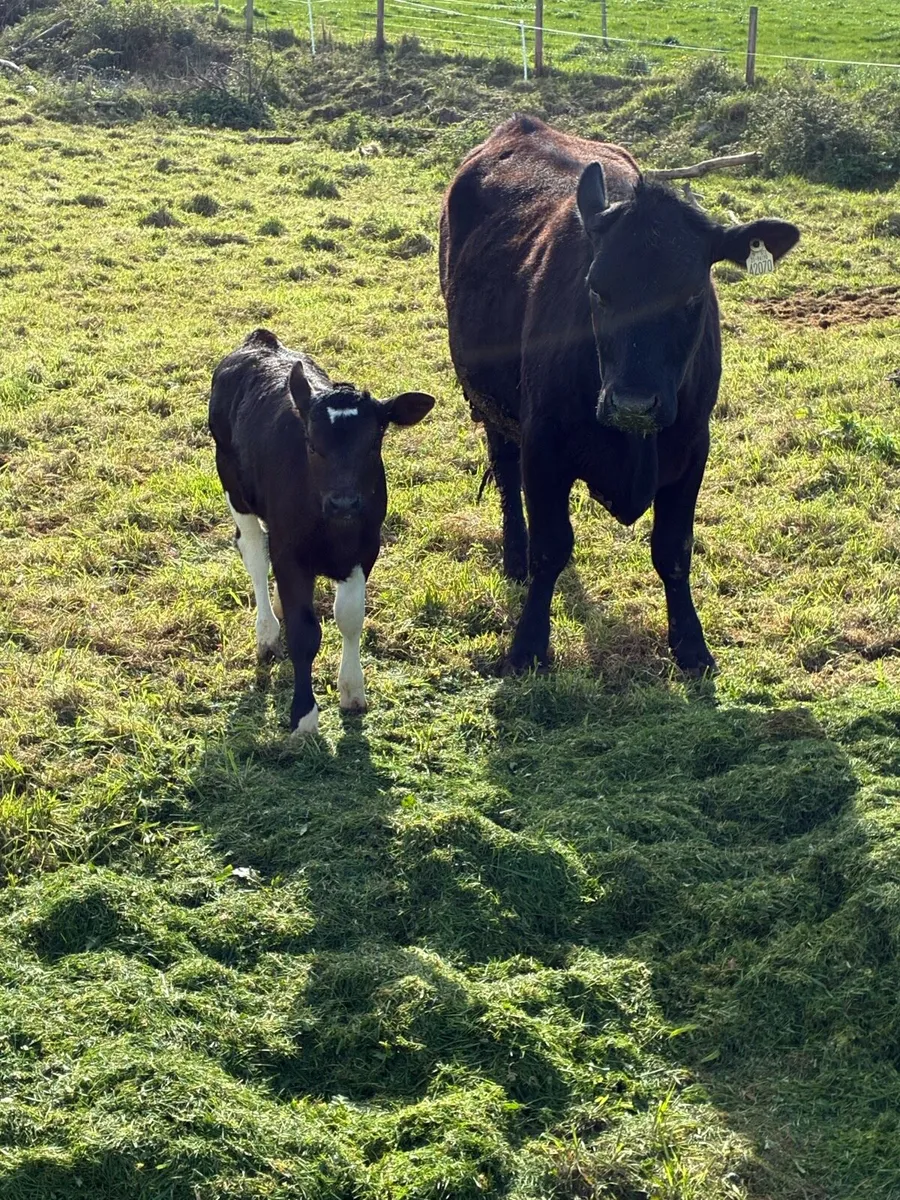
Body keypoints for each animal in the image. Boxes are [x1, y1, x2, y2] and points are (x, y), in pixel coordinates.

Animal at [209, 329, 434, 735]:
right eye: (312, 445)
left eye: (373, 444)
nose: (343, 503)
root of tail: (262, 340)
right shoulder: (289, 552)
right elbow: (304, 632)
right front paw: (304, 715)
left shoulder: (365, 548)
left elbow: (349, 617)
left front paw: (352, 690)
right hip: (233, 486)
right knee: (254, 553)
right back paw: (267, 632)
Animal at [439, 116, 799, 674]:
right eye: (596, 289)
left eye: (693, 293)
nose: (633, 405)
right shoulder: (544, 445)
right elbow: (551, 547)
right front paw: (527, 645)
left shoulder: (693, 446)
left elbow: (673, 549)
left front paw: (691, 645)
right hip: (486, 401)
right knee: (504, 471)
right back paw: (514, 556)